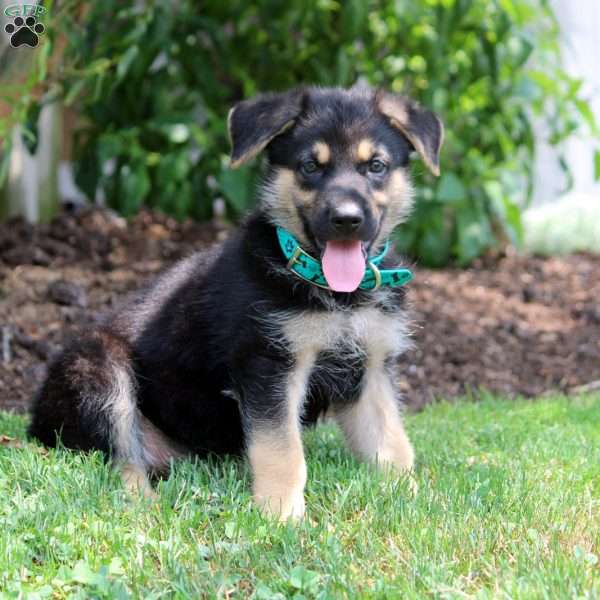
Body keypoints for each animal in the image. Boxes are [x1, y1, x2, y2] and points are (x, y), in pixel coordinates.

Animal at [28, 84, 442, 520]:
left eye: (376, 166)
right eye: (310, 167)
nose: (347, 219)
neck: (335, 293)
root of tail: (34, 423)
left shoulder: (370, 369)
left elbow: (392, 445)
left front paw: (413, 499)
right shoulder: (268, 364)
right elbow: (283, 451)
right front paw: (282, 514)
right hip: (99, 371)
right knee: (122, 461)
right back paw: (147, 507)